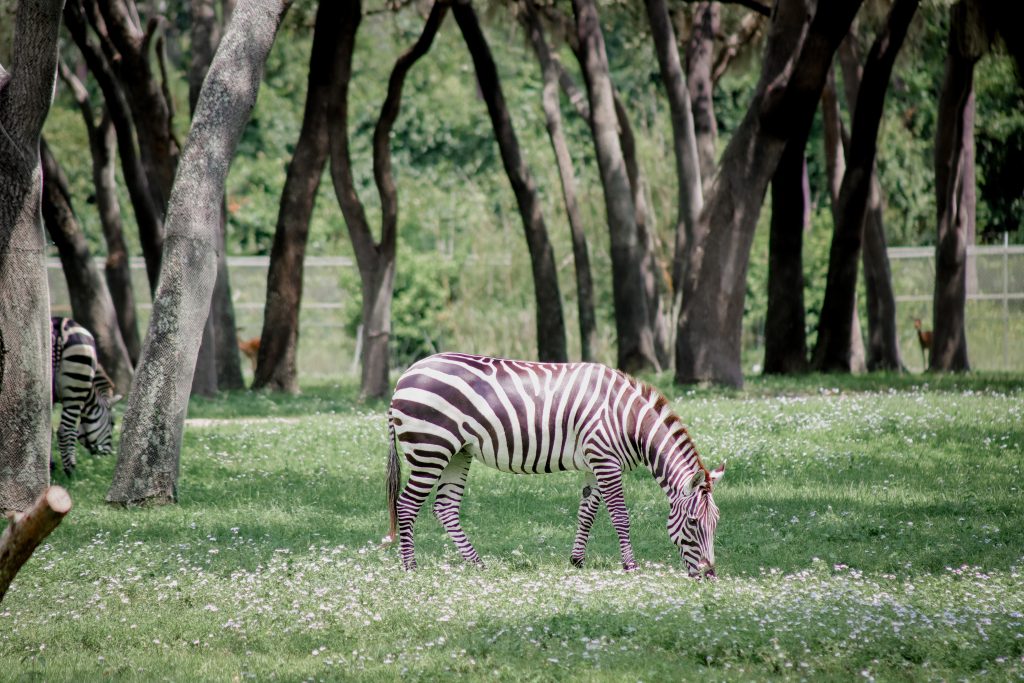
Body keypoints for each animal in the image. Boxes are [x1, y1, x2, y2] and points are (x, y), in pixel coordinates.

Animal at [51, 317, 120, 473]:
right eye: (112, 423)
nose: (108, 454)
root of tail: (60, 325)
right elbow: (71, 432)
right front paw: (69, 464)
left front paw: (50, 464)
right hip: (76, 386)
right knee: (65, 431)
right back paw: (70, 472)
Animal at [385, 352, 729, 577]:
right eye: (694, 523)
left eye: (716, 522)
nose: (709, 575)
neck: (627, 419)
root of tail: (405, 375)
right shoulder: (606, 459)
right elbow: (620, 515)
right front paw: (630, 565)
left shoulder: (594, 462)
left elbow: (587, 512)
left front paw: (577, 560)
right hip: (431, 448)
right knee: (406, 505)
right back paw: (410, 567)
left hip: (458, 452)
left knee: (445, 507)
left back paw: (478, 564)